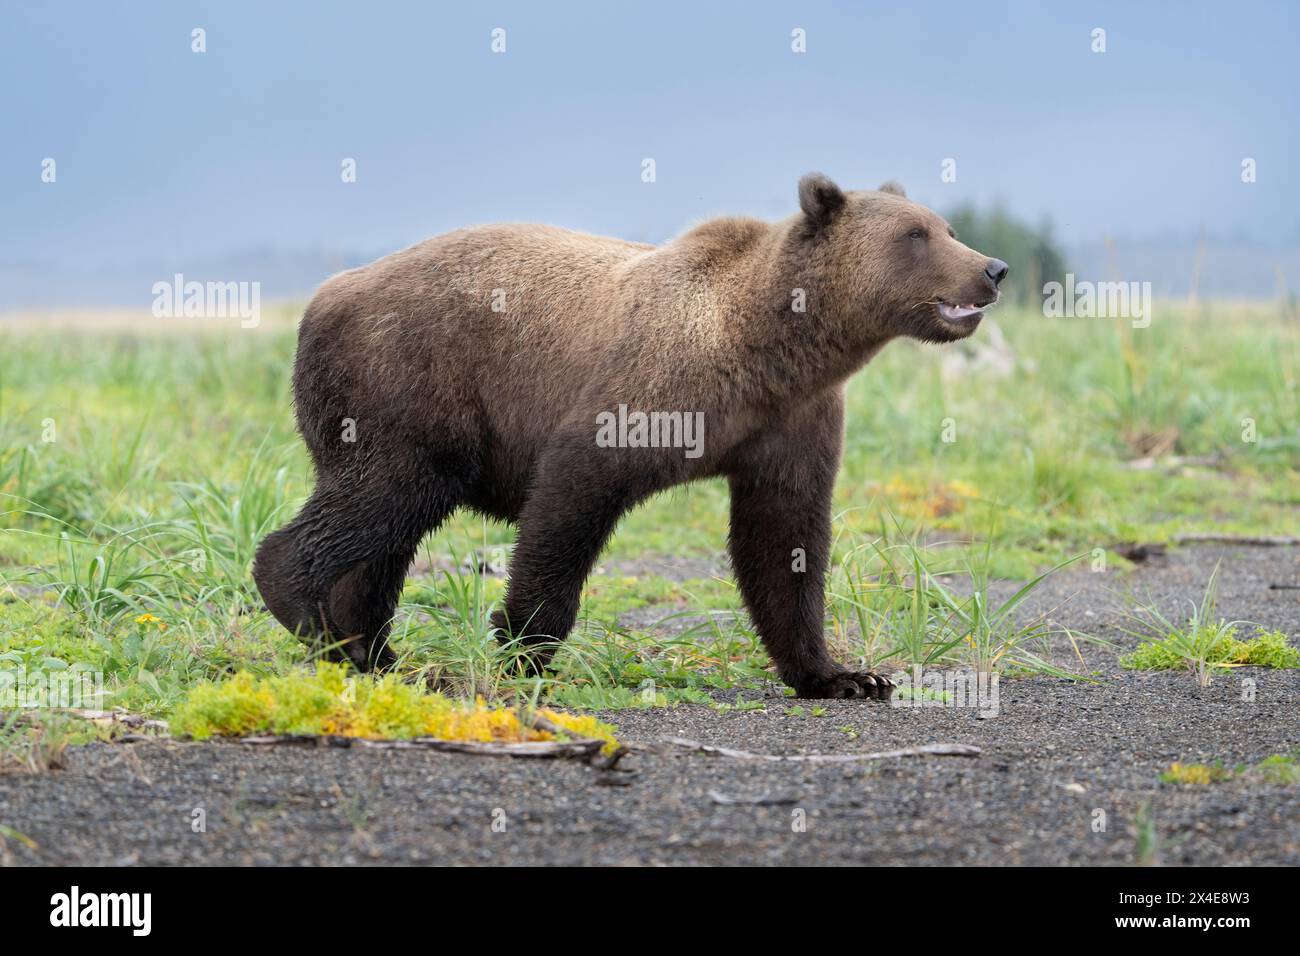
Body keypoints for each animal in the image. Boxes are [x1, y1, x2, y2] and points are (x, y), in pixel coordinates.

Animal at [250, 174, 1003, 697]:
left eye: (945, 225)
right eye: (916, 235)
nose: (991, 268)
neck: (766, 348)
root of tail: (324, 297)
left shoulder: (792, 423)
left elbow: (784, 538)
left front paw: (842, 673)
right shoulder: (648, 390)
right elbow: (571, 497)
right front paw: (525, 646)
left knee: (387, 534)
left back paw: (371, 651)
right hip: (408, 387)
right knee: (385, 497)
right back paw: (307, 609)